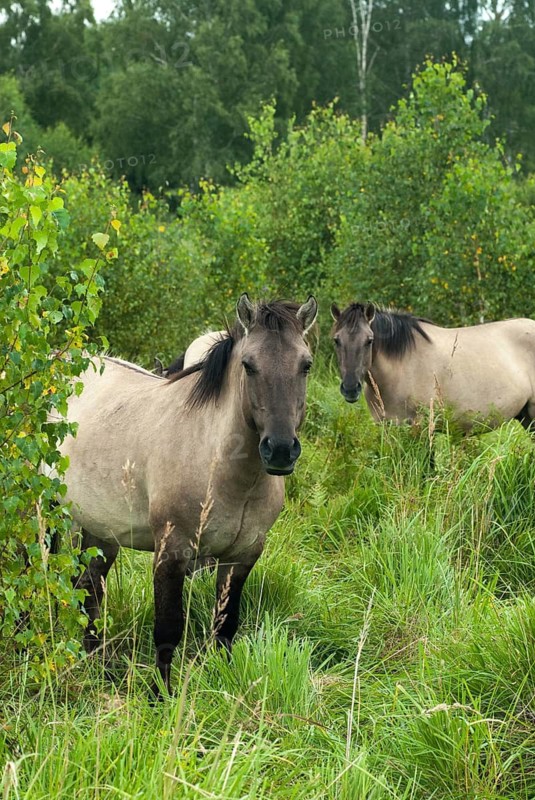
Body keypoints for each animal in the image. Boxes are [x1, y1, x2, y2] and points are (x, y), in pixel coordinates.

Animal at [56, 294, 318, 694]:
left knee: (90, 589)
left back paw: (100, 667)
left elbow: (225, 628)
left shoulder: (242, 556)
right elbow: (168, 631)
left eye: (306, 365)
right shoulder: (171, 552)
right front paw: (160, 697)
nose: (280, 450)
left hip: (100, 532)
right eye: (249, 365)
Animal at [330, 302, 535, 432]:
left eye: (369, 340)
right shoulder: (386, 427)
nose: (350, 388)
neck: (399, 369)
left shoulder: (420, 426)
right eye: (337, 340)